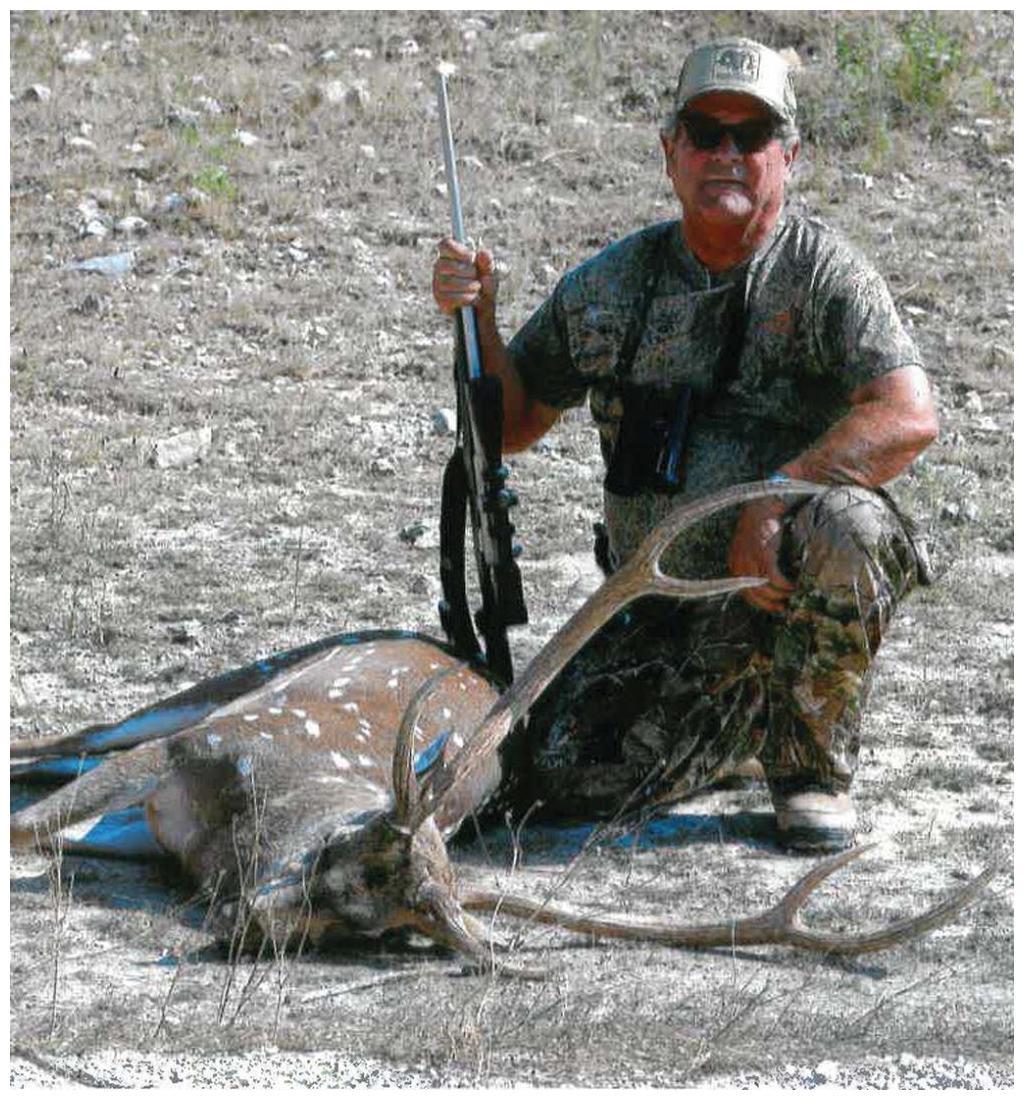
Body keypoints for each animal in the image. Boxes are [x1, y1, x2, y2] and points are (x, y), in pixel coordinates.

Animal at [10, 482, 997, 972]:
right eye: (346, 859)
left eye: (380, 931)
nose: (246, 927)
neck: (238, 828)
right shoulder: (182, 750)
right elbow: (25, 826)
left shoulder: (146, 832)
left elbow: (47, 835)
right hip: (211, 688)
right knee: (60, 737)